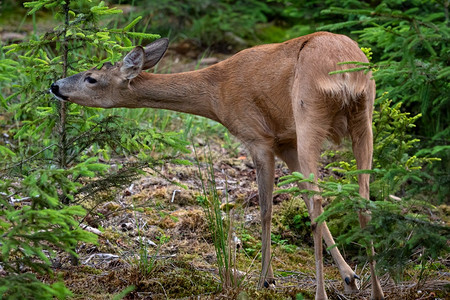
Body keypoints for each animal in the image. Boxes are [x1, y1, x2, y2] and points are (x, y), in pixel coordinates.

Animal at [51, 31, 384, 298]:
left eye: (91, 77)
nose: (55, 85)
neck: (215, 94)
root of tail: (343, 70)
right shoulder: (286, 142)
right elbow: (301, 199)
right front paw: (349, 277)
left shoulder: (258, 138)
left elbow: (266, 211)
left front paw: (266, 280)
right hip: (363, 114)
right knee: (362, 200)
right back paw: (377, 292)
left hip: (309, 113)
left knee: (319, 201)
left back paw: (320, 294)